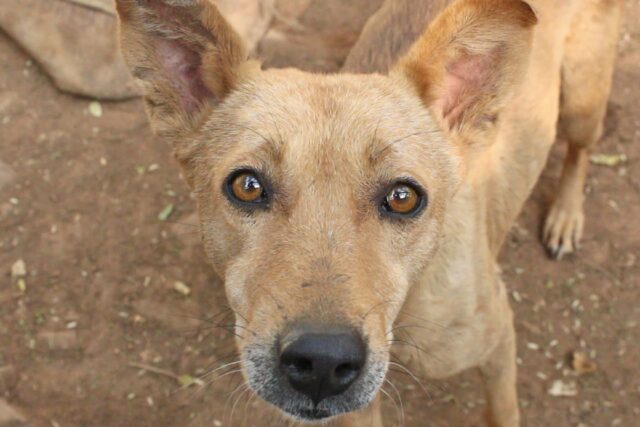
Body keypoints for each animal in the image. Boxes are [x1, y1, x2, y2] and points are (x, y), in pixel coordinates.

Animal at [114, 1, 620, 426]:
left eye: (403, 197)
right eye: (247, 186)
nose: (321, 362)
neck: (404, 306)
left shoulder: (497, 344)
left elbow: (503, 412)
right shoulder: (355, 409)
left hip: (583, 95)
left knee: (580, 148)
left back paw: (566, 216)